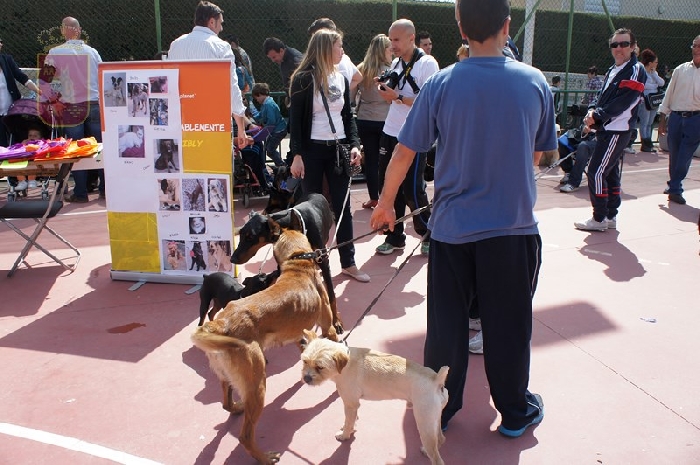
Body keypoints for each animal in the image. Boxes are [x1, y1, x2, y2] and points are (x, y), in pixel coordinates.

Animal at [192, 228, 338, 464]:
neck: (297, 267)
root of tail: (220, 324)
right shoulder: (328, 328)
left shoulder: (298, 335)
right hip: (257, 385)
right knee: (245, 436)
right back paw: (265, 458)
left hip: (227, 376)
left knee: (226, 404)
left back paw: (236, 407)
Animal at [231, 192, 343, 334]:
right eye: (240, 234)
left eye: (250, 237)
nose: (232, 259)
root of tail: (316, 193)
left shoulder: (323, 261)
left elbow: (332, 296)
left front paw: (336, 321)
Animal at [300, 330, 449, 465]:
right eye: (305, 361)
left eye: (320, 367)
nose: (306, 378)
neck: (345, 364)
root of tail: (436, 380)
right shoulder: (353, 405)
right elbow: (351, 420)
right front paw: (349, 428)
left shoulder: (350, 404)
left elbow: (348, 422)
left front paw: (345, 435)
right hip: (434, 419)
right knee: (441, 438)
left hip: (424, 423)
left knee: (437, 458)